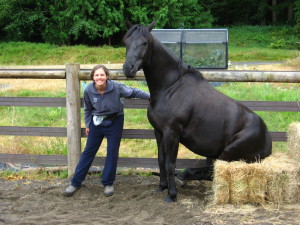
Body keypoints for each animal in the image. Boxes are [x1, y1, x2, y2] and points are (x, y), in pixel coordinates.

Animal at [122, 21, 272, 202]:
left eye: (144, 43)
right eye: (126, 42)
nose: (128, 68)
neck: (170, 87)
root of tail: (268, 138)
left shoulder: (172, 133)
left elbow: (170, 163)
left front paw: (171, 195)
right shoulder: (158, 131)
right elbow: (160, 159)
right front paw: (162, 187)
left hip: (228, 152)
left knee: (213, 171)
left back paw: (185, 176)